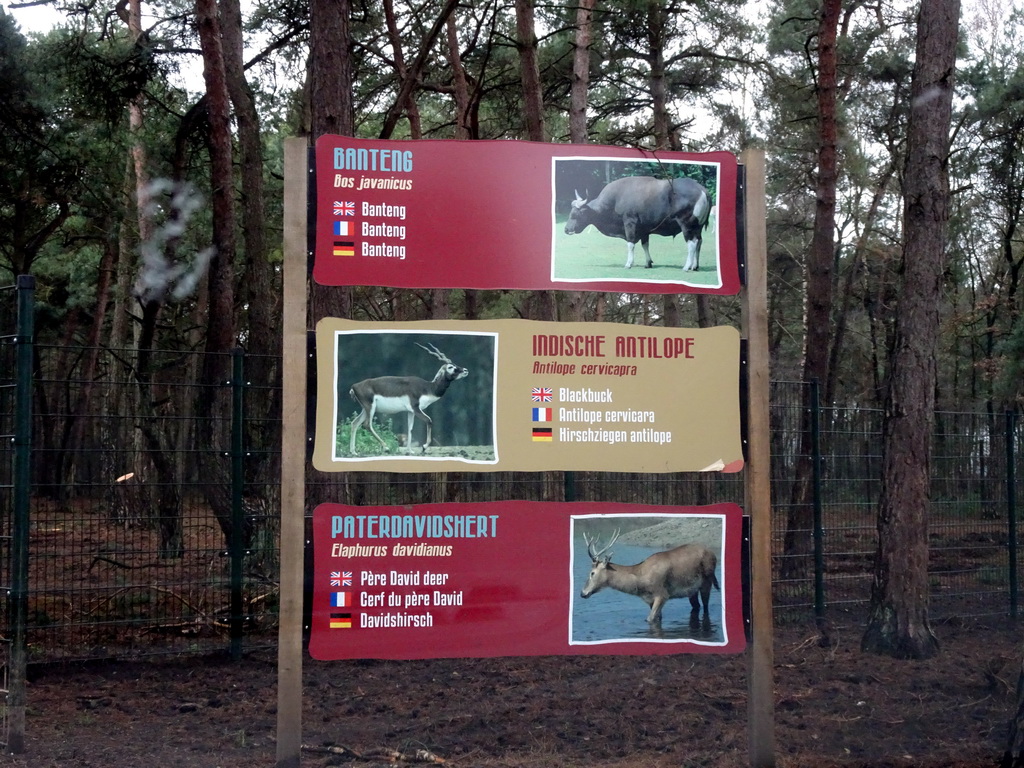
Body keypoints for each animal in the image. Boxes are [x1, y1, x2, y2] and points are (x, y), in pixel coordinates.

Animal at [561, 176, 712, 272]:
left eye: (575, 215)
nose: (566, 229)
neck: (615, 200)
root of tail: (702, 190)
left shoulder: (630, 223)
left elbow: (630, 244)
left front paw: (628, 263)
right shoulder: (644, 230)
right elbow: (645, 245)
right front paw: (648, 263)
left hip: (687, 225)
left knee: (691, 244)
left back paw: (686, 267)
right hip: (697, 227)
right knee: (699, 242)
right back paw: (695, 266)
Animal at [581, 532, 724, 622]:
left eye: (592, 573)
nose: (583, 593)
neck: (639, 583)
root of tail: (713, 554)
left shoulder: (662, 594)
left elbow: (649, 619)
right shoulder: (650, 600)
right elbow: (657, 618)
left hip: (707, 581)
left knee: (705, 606)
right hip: (692, 590)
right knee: (696, 606)